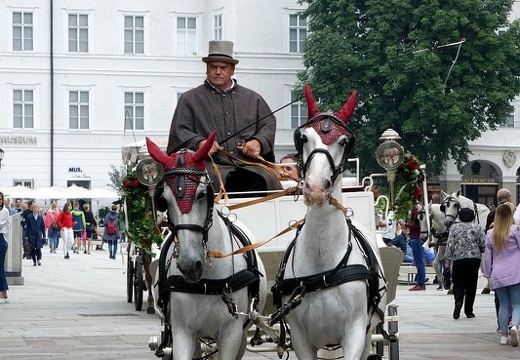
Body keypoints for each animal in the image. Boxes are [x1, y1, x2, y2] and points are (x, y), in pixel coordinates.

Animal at [147, 132, 266, 360]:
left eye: (202, 194)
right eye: (163, 200)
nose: (189, 264)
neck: (207, 282)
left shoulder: (231, 335)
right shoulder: (183, 332)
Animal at [270, 85, 388, 360]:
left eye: (343, 141)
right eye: (303, 137)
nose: (315, 188)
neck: (323, 264)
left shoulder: (355, 333)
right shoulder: (300, 338)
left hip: (369, 331)